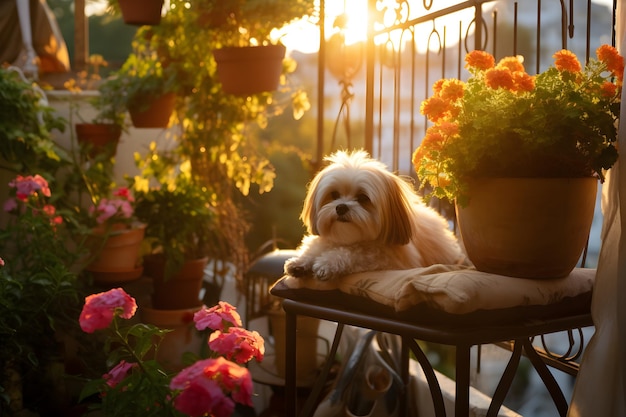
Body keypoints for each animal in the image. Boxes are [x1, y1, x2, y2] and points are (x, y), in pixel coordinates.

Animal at [284, 150, 464, 280]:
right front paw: (301, 261)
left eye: (363, 198)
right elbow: (314, 246)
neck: (349, 239)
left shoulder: (383, 260)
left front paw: (328, 263)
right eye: (334, 194)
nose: (341, 207)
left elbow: (352, 254)